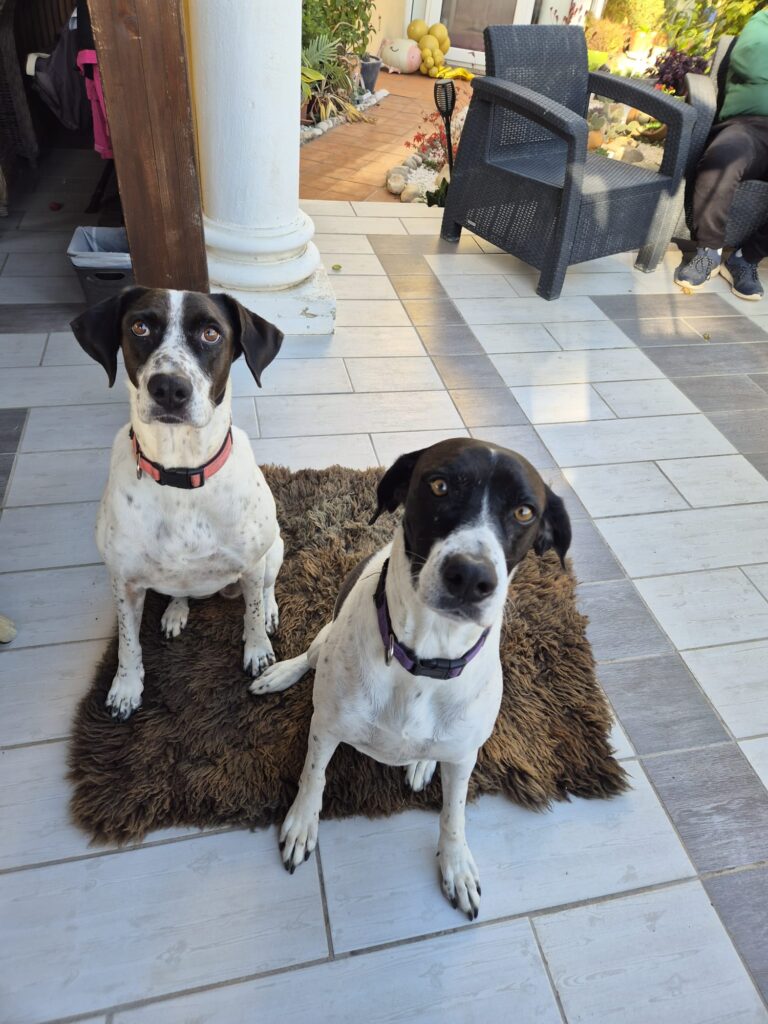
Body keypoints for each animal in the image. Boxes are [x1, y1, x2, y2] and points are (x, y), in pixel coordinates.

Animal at [71, 287, 285, 720]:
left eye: (211, 333)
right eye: (140, 326)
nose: (169, 387)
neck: (181, 473)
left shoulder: (252, 564)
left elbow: (253, 614)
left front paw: (258, 652)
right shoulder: (124, 581)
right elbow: (127, 642)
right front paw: (126, 688)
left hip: (274, 548)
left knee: (267, 587)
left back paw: (269, 610)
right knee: (178, 591)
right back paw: (176, 611)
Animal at [254, 438, 571, 919]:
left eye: (524, 512)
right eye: (439, 485)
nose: (471, 575)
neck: (423, 657)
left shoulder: (463, 757)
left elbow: (453, 814)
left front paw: (456, 866)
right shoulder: (326, 726)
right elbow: (314, 775)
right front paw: (302, 823)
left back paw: (422, 764)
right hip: (324, 642)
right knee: (311, 653)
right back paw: (280, 673)